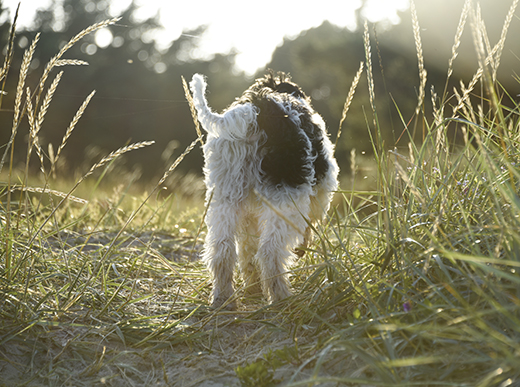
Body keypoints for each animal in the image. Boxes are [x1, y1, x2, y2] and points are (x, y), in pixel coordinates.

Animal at [189, 71, 340, 310]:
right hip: (286, 199)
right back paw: (281, 297)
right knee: (270, 251)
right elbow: (308, 227)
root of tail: (255, 110)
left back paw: (224, 299)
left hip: (225, 197)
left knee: (222, 251)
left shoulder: (246, 213)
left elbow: (246, 250)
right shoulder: (319, 196)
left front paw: (252, 288)